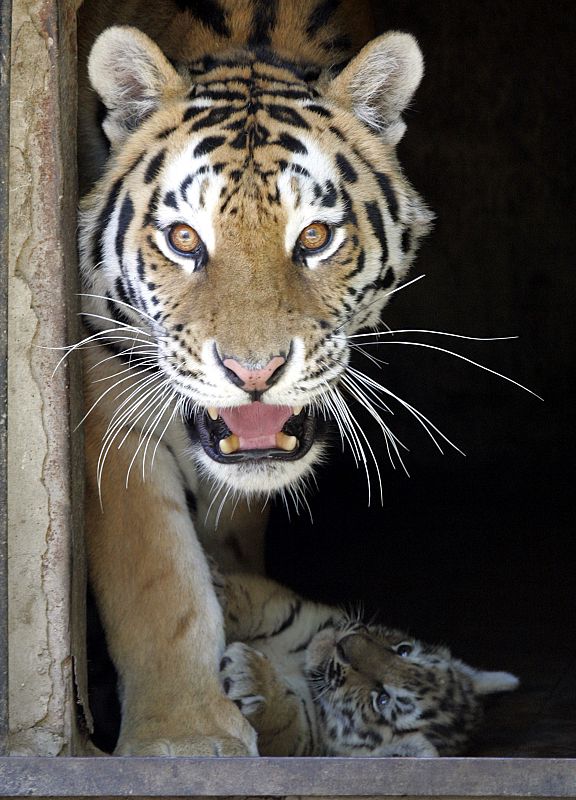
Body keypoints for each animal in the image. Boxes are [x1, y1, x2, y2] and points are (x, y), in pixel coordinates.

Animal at [77, 0, 434, 755]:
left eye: (315, 237)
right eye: (184, 238)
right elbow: (153, 573)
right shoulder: (108, 385)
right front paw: (181, 735)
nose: (254, 372)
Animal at [218, 573, 519, 757]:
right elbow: (253, 599)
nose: (345, 646)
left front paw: (249, 675)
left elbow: (285, 719)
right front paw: (217, 587)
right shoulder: (295, 614)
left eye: (382, 700)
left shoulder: (303, 738)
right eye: (404, 650)